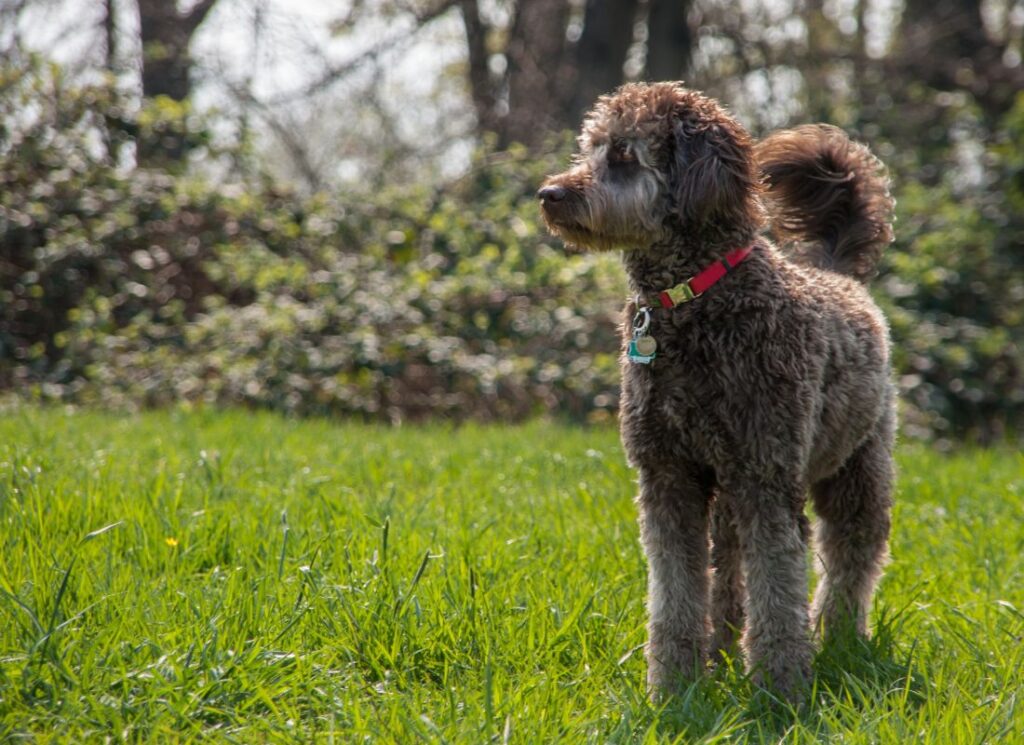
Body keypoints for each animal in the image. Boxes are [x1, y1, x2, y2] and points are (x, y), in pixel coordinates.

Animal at [536, 82, 897, 699]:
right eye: (590, 148)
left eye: (624, 154)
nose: (548, 193)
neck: (694, 301)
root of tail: (838, 275)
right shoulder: (668, 476)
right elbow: (676, 591)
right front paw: (673, 688)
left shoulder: (767, 478)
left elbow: (777, 589)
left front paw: (780, 691)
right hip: (727, 489)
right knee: (728, 574)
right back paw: (721, 649)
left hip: (856, 468)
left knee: (852, 556)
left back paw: (840, 637)